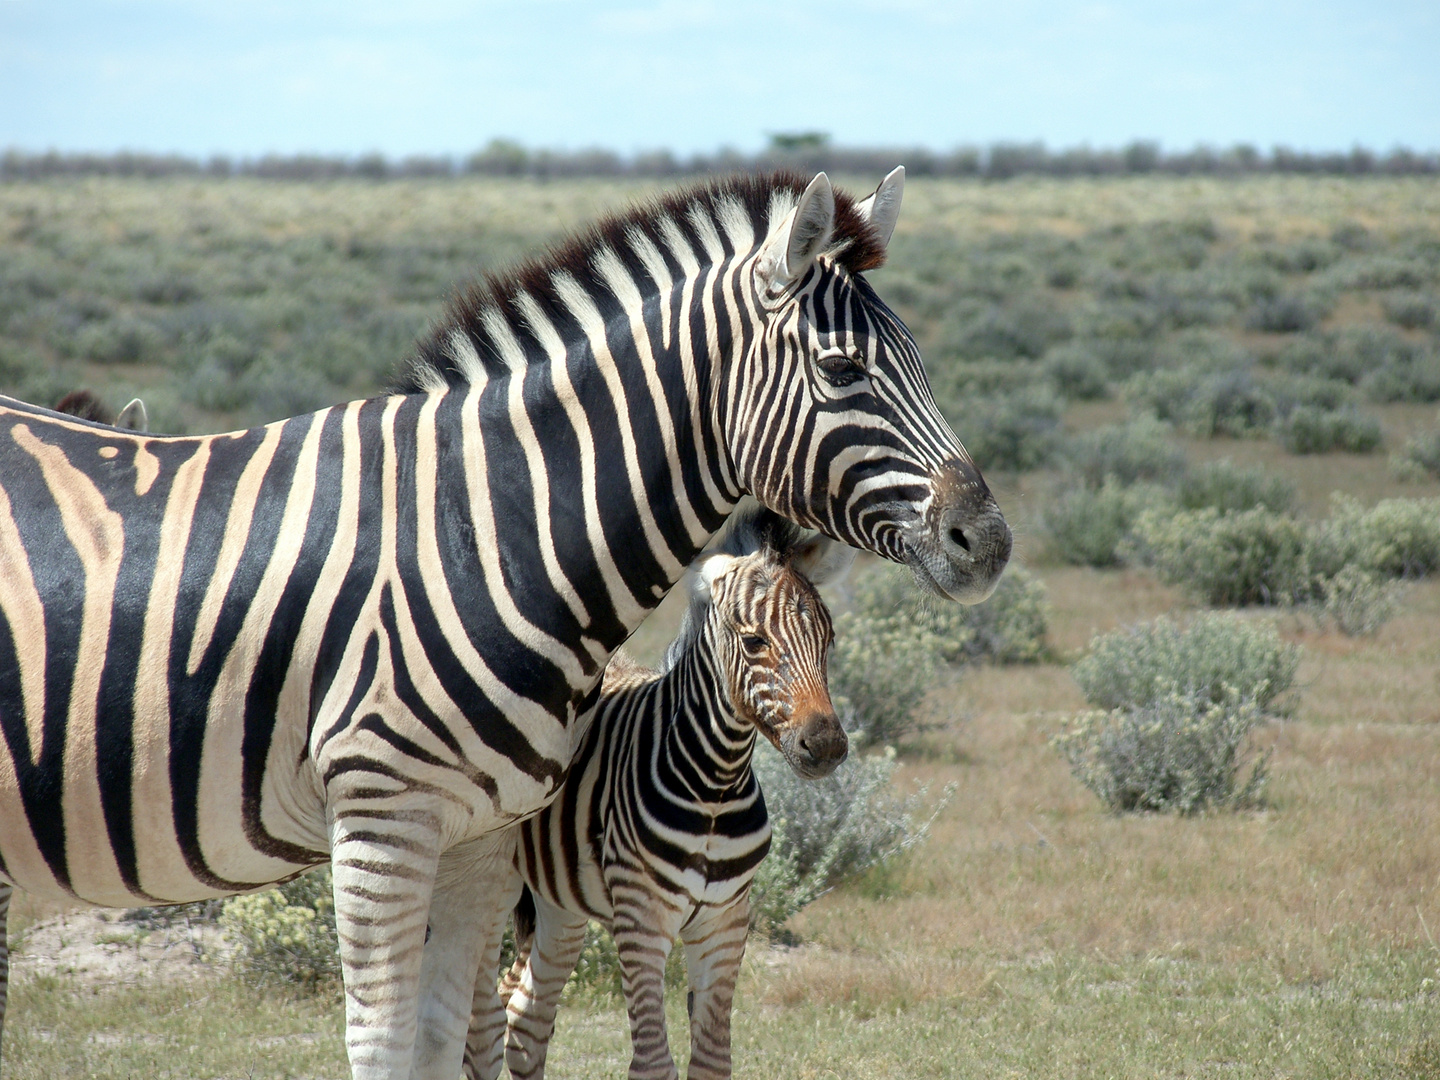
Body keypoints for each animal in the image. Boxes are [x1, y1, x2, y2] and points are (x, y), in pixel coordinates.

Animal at [463, 509, 852, 1080]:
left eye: (828, 640)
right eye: (754, 642)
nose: (826, 746)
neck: (714, 782)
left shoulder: (725, 922)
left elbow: (712, 1061)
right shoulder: (642, 919)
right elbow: (652, 1063)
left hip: (560, 902)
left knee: (526, 1017)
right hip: (492, 882)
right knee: (480, 1019)